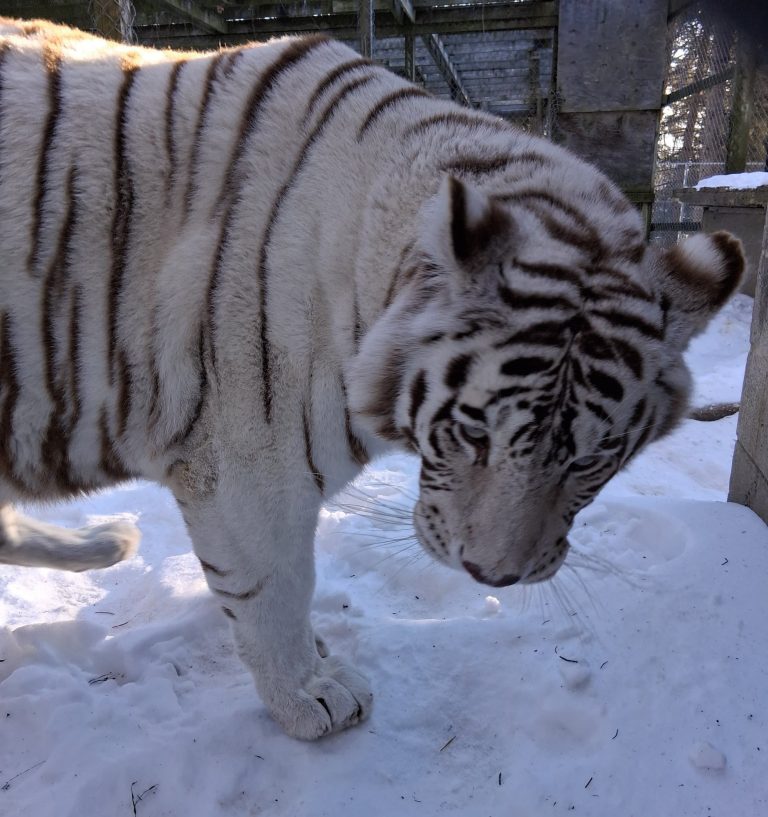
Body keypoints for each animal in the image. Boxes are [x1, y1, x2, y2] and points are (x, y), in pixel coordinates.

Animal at [0, 18, 744, 740]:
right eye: (473, 433)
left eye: (590, 461)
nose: (491, 574)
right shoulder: (248, 469)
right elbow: (275, 590)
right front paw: (310, 697)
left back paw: (105, 542)